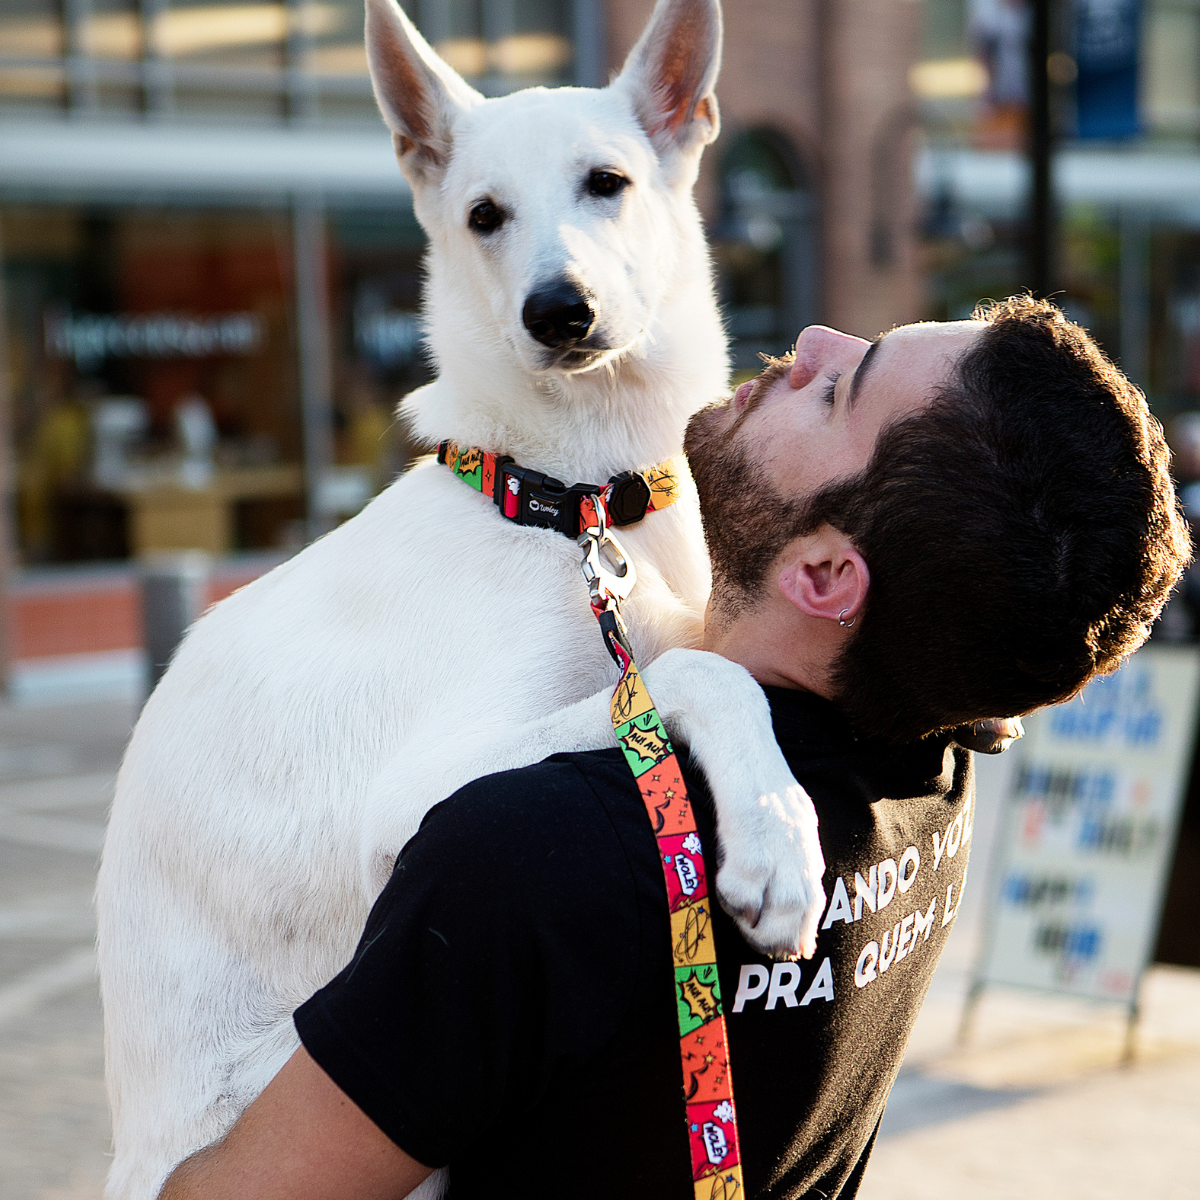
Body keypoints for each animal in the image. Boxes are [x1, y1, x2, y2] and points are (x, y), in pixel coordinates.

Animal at [96, 0, 825, 1195]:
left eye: (608, 182)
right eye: (485, 216)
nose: (558, 310)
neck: (575, 502)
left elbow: (690, 656)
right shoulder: (420, 790)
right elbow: (703, 671)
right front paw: (777, 840)